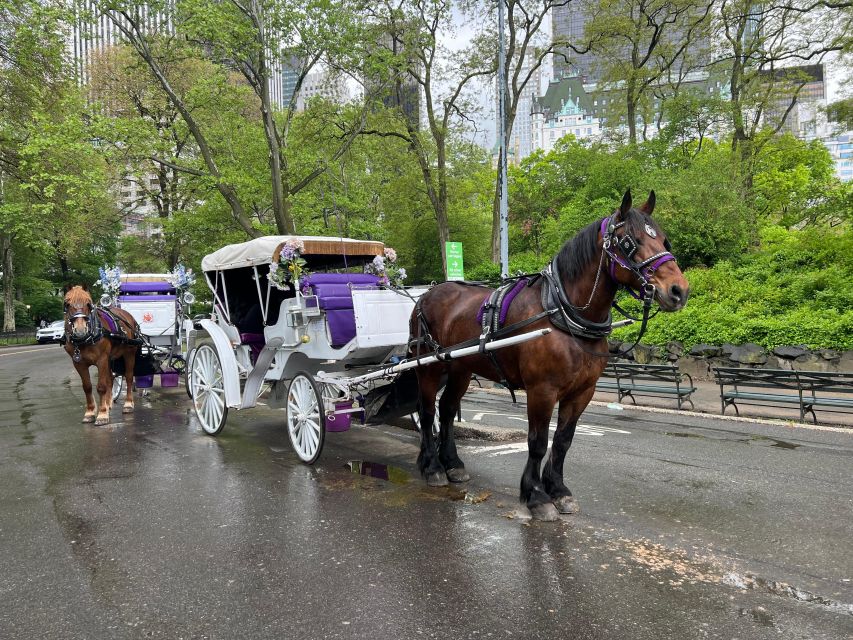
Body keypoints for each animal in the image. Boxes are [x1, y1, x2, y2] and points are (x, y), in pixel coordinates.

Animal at [63, 284, 140, 424]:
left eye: (88, 304)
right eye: (67, 303)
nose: (80, 330)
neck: (86, 338)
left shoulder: (102, 359)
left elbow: (102, 386)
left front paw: (102, 414)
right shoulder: (79, 363)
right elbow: (87, 387)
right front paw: (90, 412)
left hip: (129, 353)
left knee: (129, 377)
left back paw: (128, 404)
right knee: (110, 378)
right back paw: (108, 403)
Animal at [410, 189, 688, 520]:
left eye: (664, 240)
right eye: (630, 242)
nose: (679, 291)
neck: (562, 312)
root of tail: (427, 293)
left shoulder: (582, 391)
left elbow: (563, 441)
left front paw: (558, 490)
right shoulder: (541, 390)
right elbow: (538, 441)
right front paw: (536, 495)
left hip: (461, 368)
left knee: (448, 409)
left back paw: (452, 464)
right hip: (427, 366)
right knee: (428, 412)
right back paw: (433, 467)